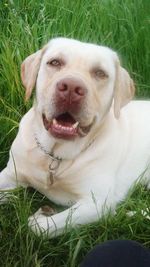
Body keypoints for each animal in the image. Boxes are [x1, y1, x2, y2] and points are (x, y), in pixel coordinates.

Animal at [0, 36, 150, 239]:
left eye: (100, 73)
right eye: (55, 62)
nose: (71, 87)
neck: (54, 155)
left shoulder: (97, 203)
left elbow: (39, 228)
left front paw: (42, 215)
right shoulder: (10, 174)